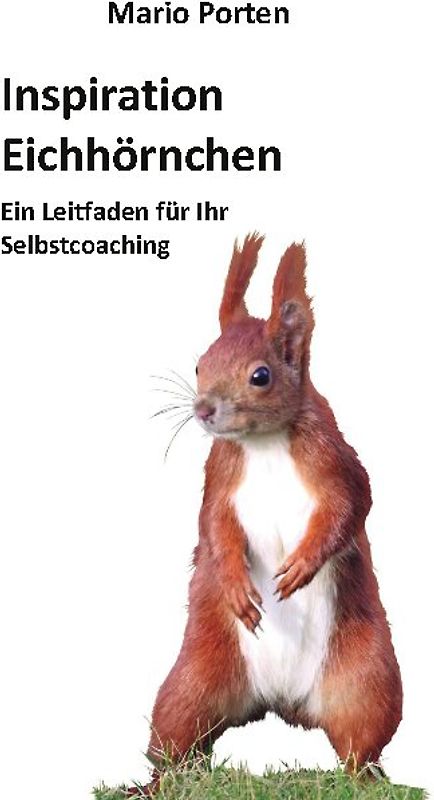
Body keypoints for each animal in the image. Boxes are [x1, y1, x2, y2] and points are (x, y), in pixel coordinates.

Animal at [143, 235, 402, 790]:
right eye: (200, 363)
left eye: (260, 376)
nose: (203, 409)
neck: (262, 442)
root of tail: (281, 699)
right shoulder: (220, 477)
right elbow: (215, 527)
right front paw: (238, 588)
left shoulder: (337, 463)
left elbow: (350, 508)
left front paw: (302, 566)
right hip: (193, 679)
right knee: (179, 742)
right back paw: (152, 784)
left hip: (367, 681)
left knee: (361, 743)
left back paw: (367, 780)